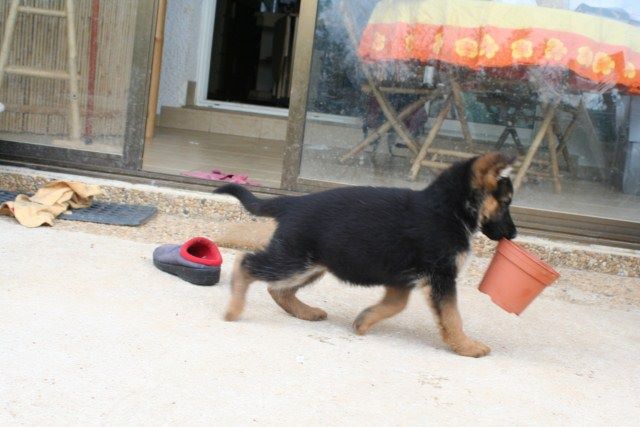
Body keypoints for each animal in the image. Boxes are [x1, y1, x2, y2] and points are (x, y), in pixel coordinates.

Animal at [215, 154, 516, 358]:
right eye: (506, 202)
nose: (513, 234)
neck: (448, 209)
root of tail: (292, 202)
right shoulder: (441, 276)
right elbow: (452, 315)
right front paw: (466, 346)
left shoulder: (402, 277)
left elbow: (396, 304)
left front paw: (364, 321)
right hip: (295, 261)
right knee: (246, 263)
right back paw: (234, 308)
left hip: (312, 263)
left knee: (278, 289)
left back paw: (305, 312)